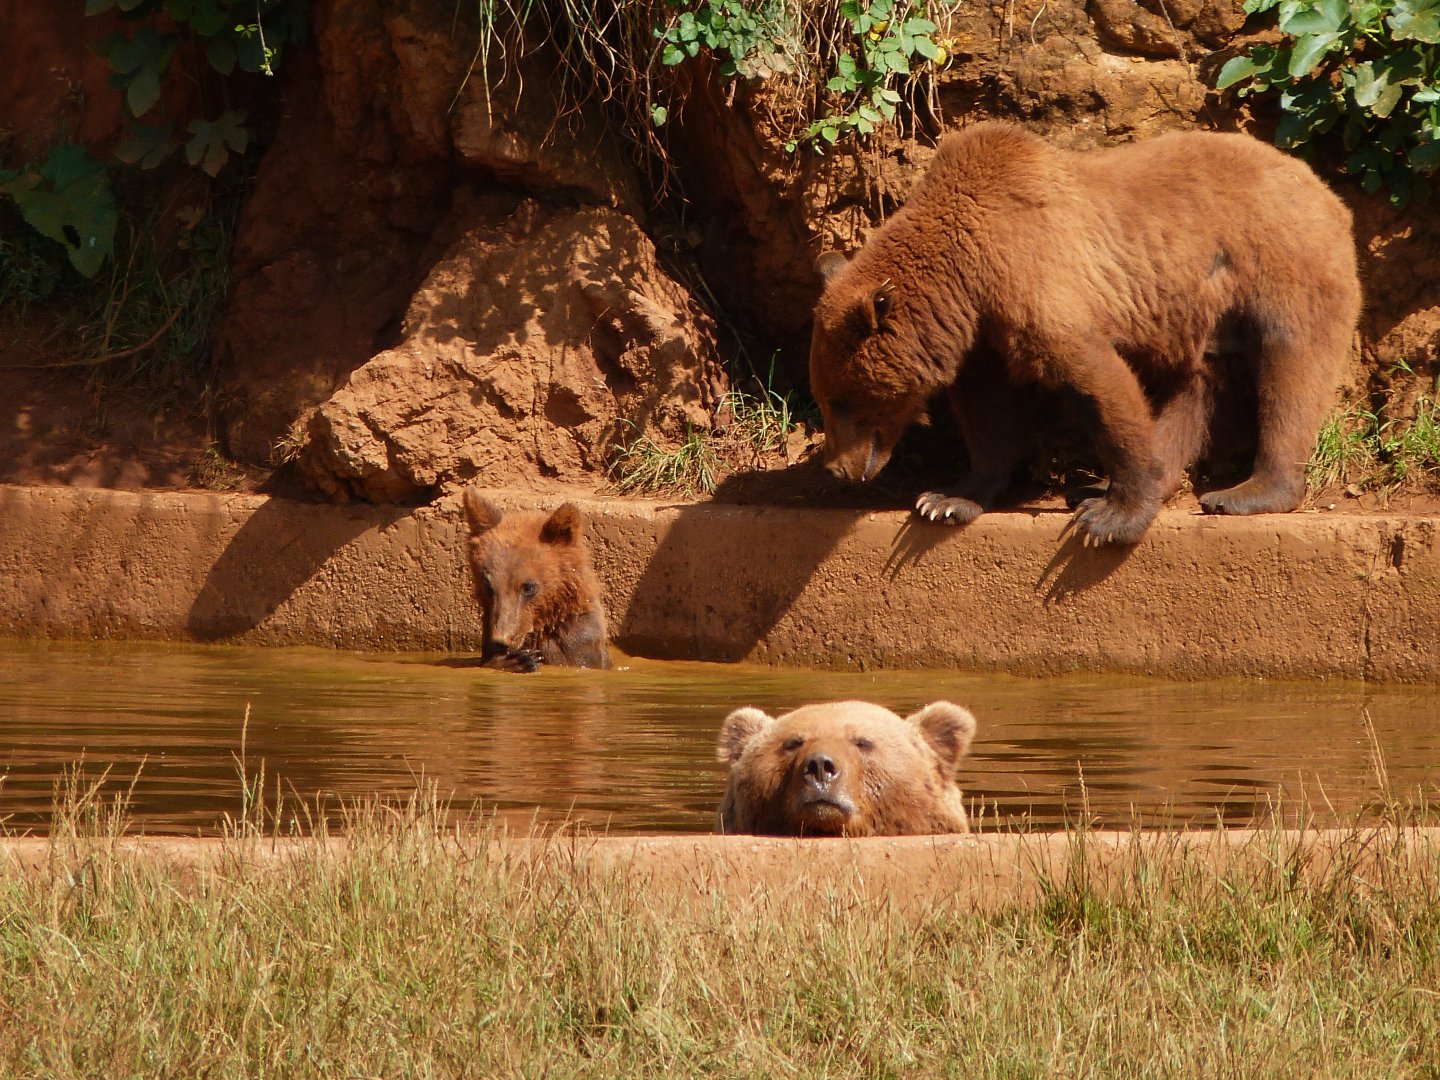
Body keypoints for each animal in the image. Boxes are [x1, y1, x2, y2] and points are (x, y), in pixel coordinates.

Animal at [808, 121, 1362, 545]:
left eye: (840, 400)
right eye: (826, 397)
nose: (835, 469)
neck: (964, 272)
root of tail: (1329, 192)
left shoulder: (1035, 276)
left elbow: (1093, 378)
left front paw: (1112, 518)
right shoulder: (983, 331)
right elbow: (988, 410)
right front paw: (946, 499)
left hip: (1282, 263)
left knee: (1291, 369)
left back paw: (1245, 492)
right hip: (1205, 312)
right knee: (1193, 391)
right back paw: (1105, 484)